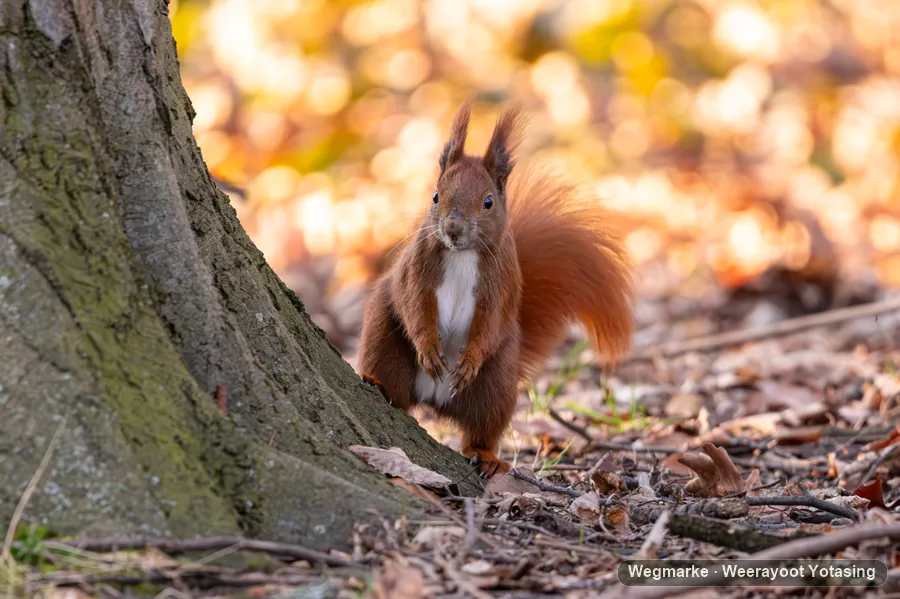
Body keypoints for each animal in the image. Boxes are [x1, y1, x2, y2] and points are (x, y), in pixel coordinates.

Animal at [356, 98, 634, 476]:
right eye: (435, 196)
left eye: (488, 201)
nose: (453, 228)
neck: (462, 254)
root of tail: (435, 398)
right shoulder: (415, 272)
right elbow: (414, 307)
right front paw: (428, 348)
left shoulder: (500, 286)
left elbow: (490, 322)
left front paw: (470, 359)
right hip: (384, 340)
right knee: (397, 393)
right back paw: (377, 383)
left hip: (497, 383)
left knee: (481, 428)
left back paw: (486, 456)